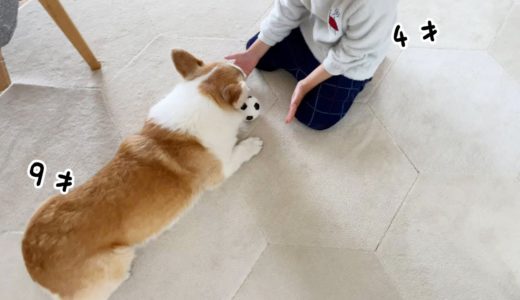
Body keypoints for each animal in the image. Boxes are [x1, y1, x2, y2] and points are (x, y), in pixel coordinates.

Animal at [21, 49, 262, 300]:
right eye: (244, 84)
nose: (242, 67)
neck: (201, 95)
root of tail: (37, 273)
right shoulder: (222, 168)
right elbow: (241, 151)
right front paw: (253, 144)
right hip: (119, 259)